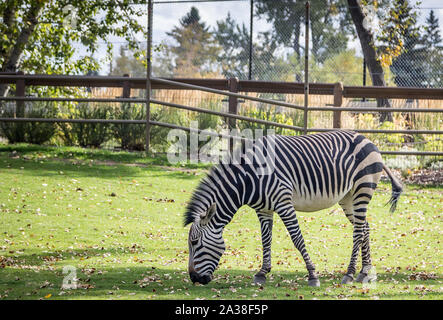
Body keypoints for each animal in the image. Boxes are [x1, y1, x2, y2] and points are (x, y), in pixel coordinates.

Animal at [184, 130, 402, 288]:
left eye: (194, 242)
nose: (194, 278)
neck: (249, 180)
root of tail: (368, 140)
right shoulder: (263, 209)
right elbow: (266, 240)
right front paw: (262, 273)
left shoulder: (283, 203)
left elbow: (297, 239)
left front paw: (312, 275)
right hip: (348, 197)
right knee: (364, 227)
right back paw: (364, 272)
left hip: (362, 190)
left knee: (357, 232)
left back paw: (349, 274)